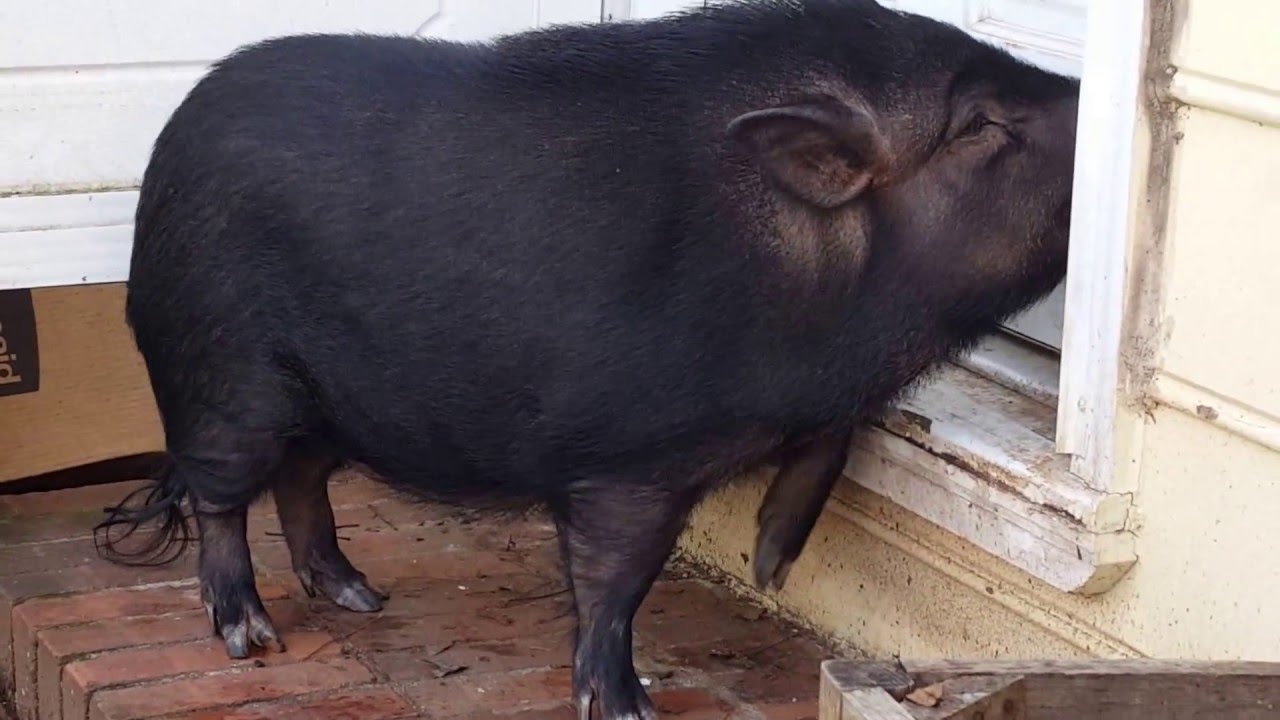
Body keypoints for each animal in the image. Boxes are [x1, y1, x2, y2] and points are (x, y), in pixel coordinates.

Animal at [97, 1, 1079, 717]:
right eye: (979, 124)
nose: (1083, 95)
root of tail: (171, 138)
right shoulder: (629, 459)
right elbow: (617, 579)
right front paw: (629, 706)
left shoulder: (822, 401)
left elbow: (834, 442)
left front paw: (771, 565)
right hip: (224, 376)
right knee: (223, 498)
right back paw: (253, 637)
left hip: (328, 400)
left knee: (303, 480)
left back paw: (361, 598)